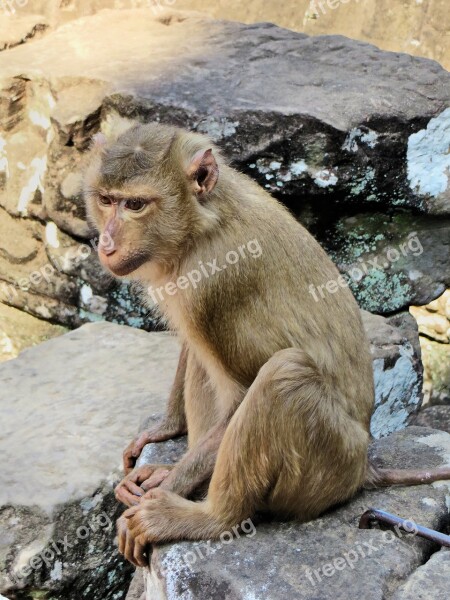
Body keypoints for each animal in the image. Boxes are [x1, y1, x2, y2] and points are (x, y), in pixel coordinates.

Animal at [83, 118, 450, 568]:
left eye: (135, 205)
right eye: (106, 200)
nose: (106, 243)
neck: (202, 224)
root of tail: (364, 466)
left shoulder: (210, 283)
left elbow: (243, 392)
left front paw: (169, 485)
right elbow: (192, 346)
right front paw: (163, 435)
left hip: (327, 466)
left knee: (283, 374)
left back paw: (209, 517)